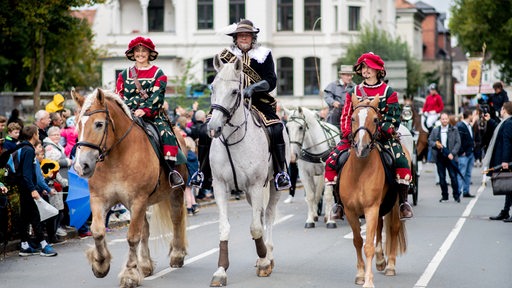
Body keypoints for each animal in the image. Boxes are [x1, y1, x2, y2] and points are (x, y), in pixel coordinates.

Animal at [71, 89, 188, 286]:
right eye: (78, 125)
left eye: (99, 124)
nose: (82, 166)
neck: (115, 158)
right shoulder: (99, 199)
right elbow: (97, 231)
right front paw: (100, 264)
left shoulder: (138, 200)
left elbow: (133, 237)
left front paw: (129, 274)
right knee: (146, 229)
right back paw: (146, 264)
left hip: (176, 192)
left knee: (176, 219)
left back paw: (177, 255)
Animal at [207, 53, 290, 286]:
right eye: (212, 87)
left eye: (235, 91)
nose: (213, 128)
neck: (233, 140)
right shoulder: (220, 186)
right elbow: (224, 226)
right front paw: (220, 270)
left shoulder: (255, 184)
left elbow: (256, 227)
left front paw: (263, 261)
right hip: (248, 192)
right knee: (260, 215)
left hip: (272, 185)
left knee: (268, 216)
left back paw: (267, 256)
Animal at [340, 94, 408, 288]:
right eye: (352, 118)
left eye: (376, 119)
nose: (361, 148)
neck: (359, 172)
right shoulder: (350, 211)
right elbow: (357, 241)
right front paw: (360, 274)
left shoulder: (371, 207)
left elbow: (368, 245)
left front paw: (368, 281)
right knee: (379, 226)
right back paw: (380, 260)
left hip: (394, 204)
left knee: (393, 228)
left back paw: (390, 265)